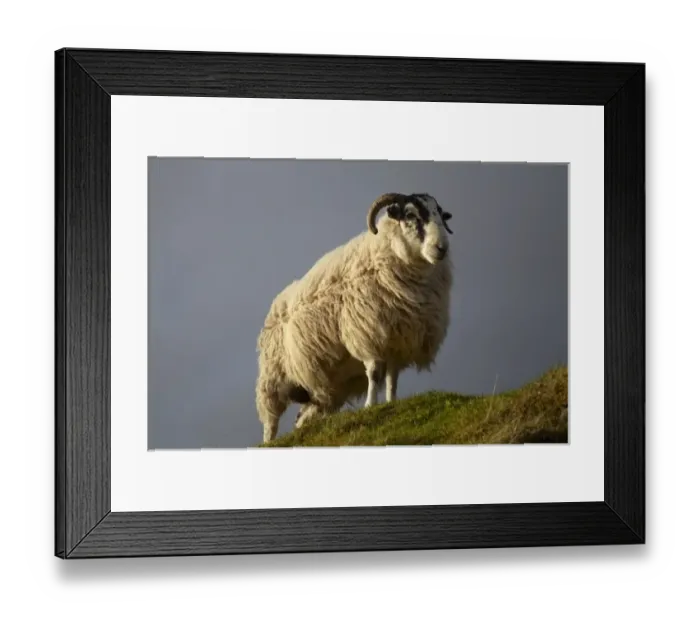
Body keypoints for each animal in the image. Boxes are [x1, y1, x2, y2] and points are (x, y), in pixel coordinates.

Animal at [255, 192, 455, 443]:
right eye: (410, 215)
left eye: (440, 214)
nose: (441, 248)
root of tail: (274, 307)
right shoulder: (366, 334)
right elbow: (374, 373)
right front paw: (370, 405)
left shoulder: (397, 342)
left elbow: (392, 378)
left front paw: (391, 402)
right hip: (272, 380)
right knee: (270, 420)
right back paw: (269, 443)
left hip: (325, 389)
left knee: (303, 417)